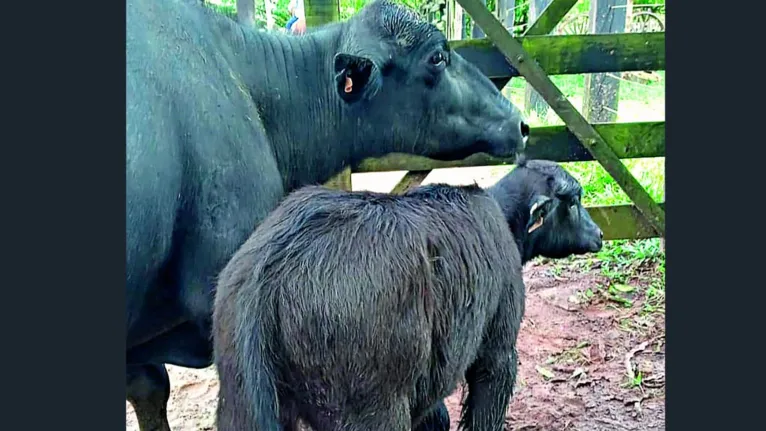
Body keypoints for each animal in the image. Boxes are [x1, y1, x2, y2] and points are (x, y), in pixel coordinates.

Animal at [212, 158, 608, 431]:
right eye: (574, 201)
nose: (600, 235)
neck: (506, 222)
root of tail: (269, 273)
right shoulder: (498, 351)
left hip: (240, 403)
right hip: (372, 411)